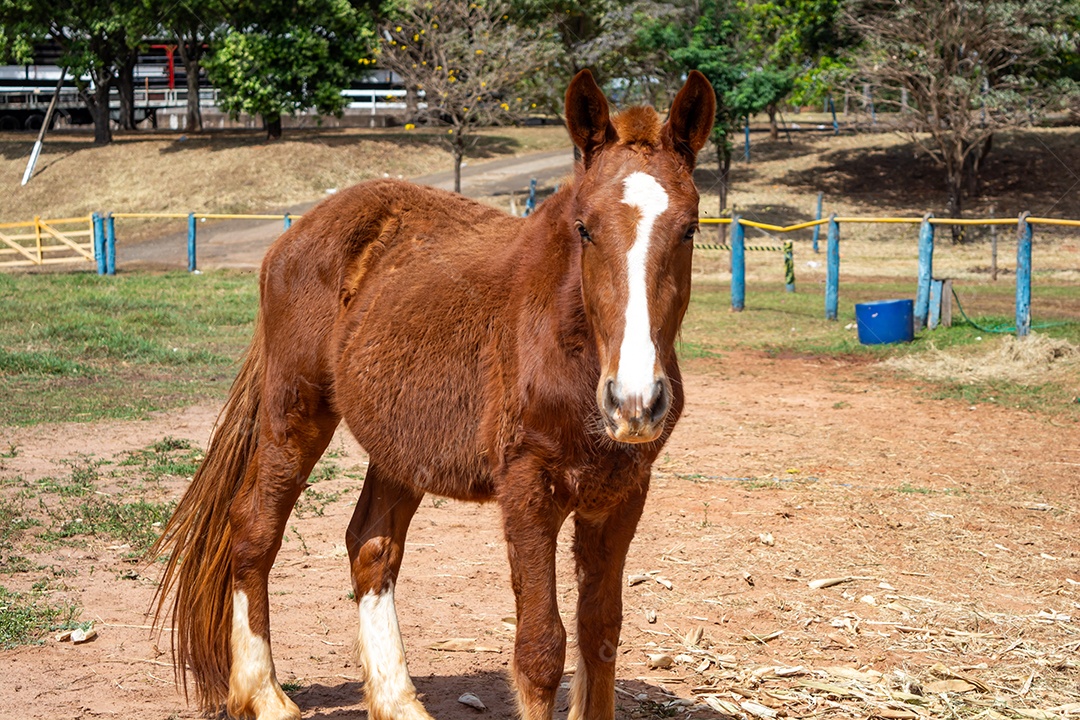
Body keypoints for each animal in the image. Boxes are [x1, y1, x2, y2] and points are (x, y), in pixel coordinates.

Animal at [150, 69, 708, 720]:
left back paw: (397, 702)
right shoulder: (527, 489)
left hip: (400, 448)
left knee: (370, 546)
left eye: (690, 228)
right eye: (585, 229)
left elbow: (601, 632)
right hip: (296, 412)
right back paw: (264, 694)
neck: (567, 340)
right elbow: (541, 649)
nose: (634, 402)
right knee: (254, 532)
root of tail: (294, 237)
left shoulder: (621, 494)